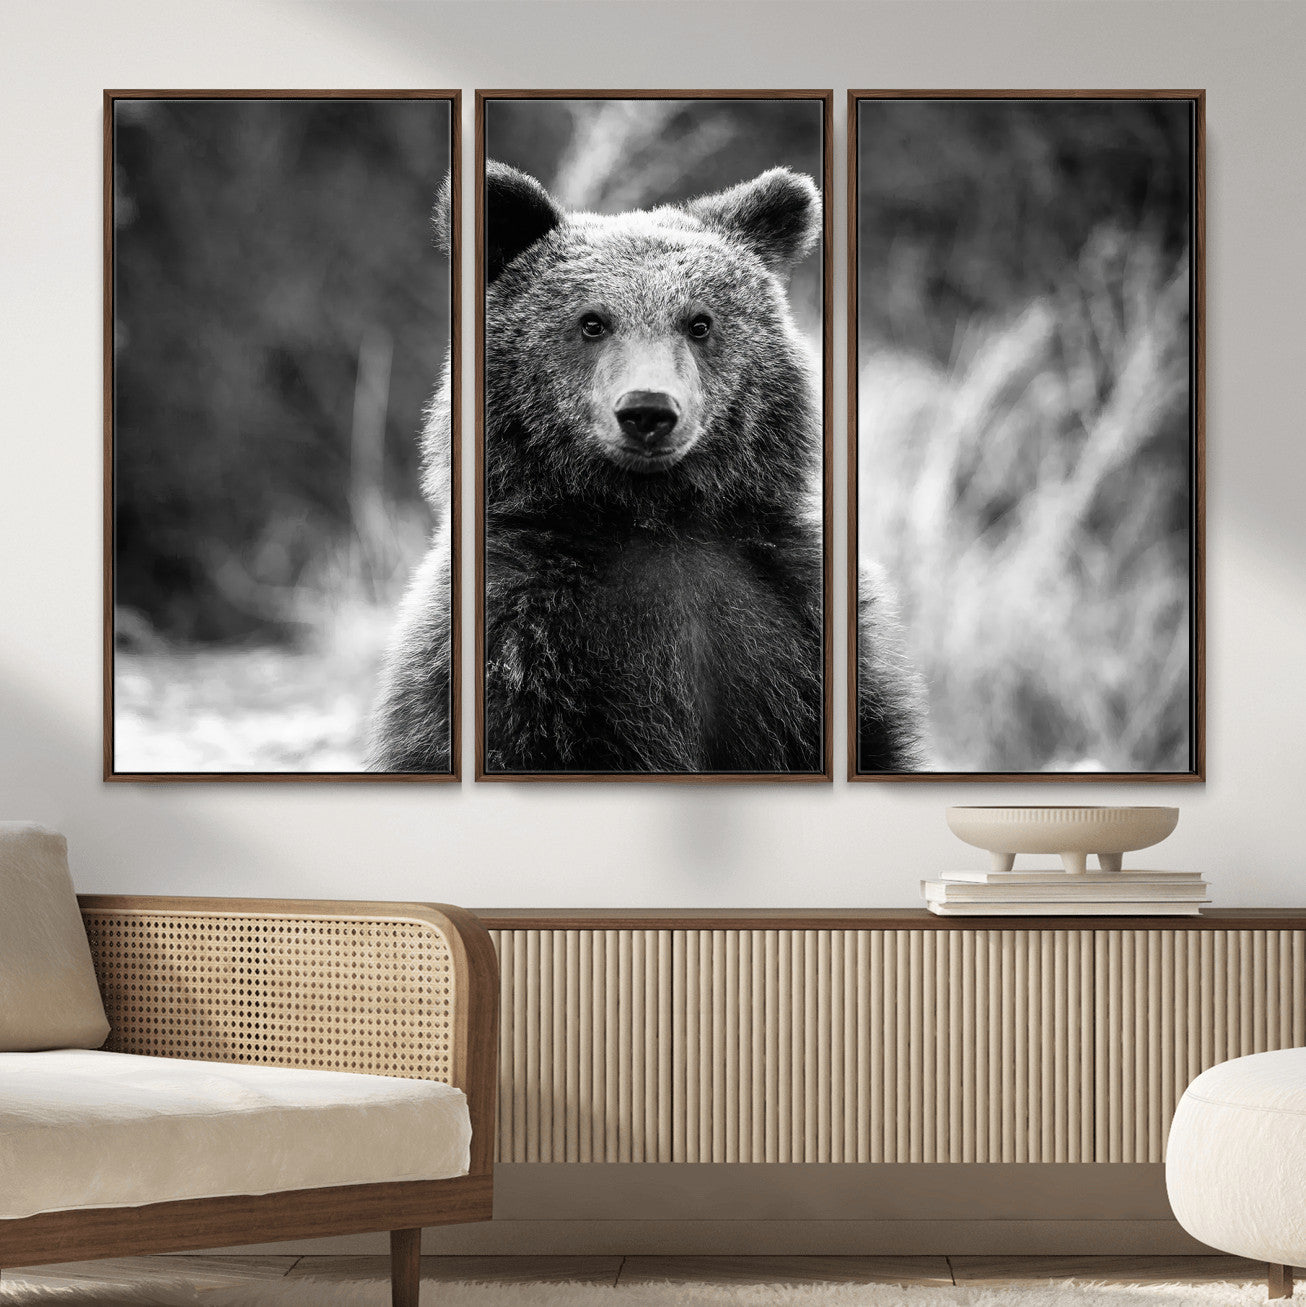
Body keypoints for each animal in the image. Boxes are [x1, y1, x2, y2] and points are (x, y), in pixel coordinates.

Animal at [370, 162, 925, 774]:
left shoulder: (792, 621)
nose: (648, 411)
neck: (655, 517)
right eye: (592, 322)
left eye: (699, 322)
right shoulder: (523, 639)